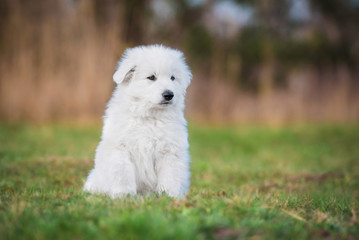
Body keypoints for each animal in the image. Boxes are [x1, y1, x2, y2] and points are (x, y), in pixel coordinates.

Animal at [84, 45, 193, 199]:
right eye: (151, 77)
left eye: (173, 78)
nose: (169, 94)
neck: (149, 116)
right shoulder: (121, 149)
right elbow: (123, 173)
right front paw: (124, 195)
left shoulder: (170, 151)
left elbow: (170, 176)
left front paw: (169, 196)